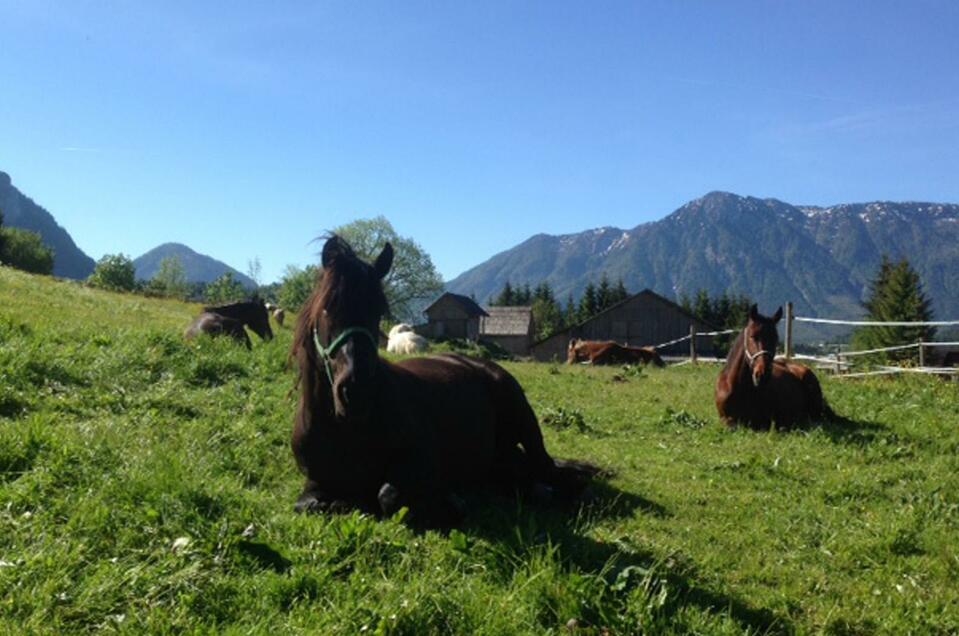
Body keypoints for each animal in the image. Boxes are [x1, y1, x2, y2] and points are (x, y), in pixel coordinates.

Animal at [290, 237, 600, 528]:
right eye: (327, 308)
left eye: (379, 310)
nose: (358, 390)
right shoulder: (315, 485)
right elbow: (311, 504)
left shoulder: (422, 460)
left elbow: (388, 495)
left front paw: (449, 504)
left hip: (524, 421)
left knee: (549, 470)